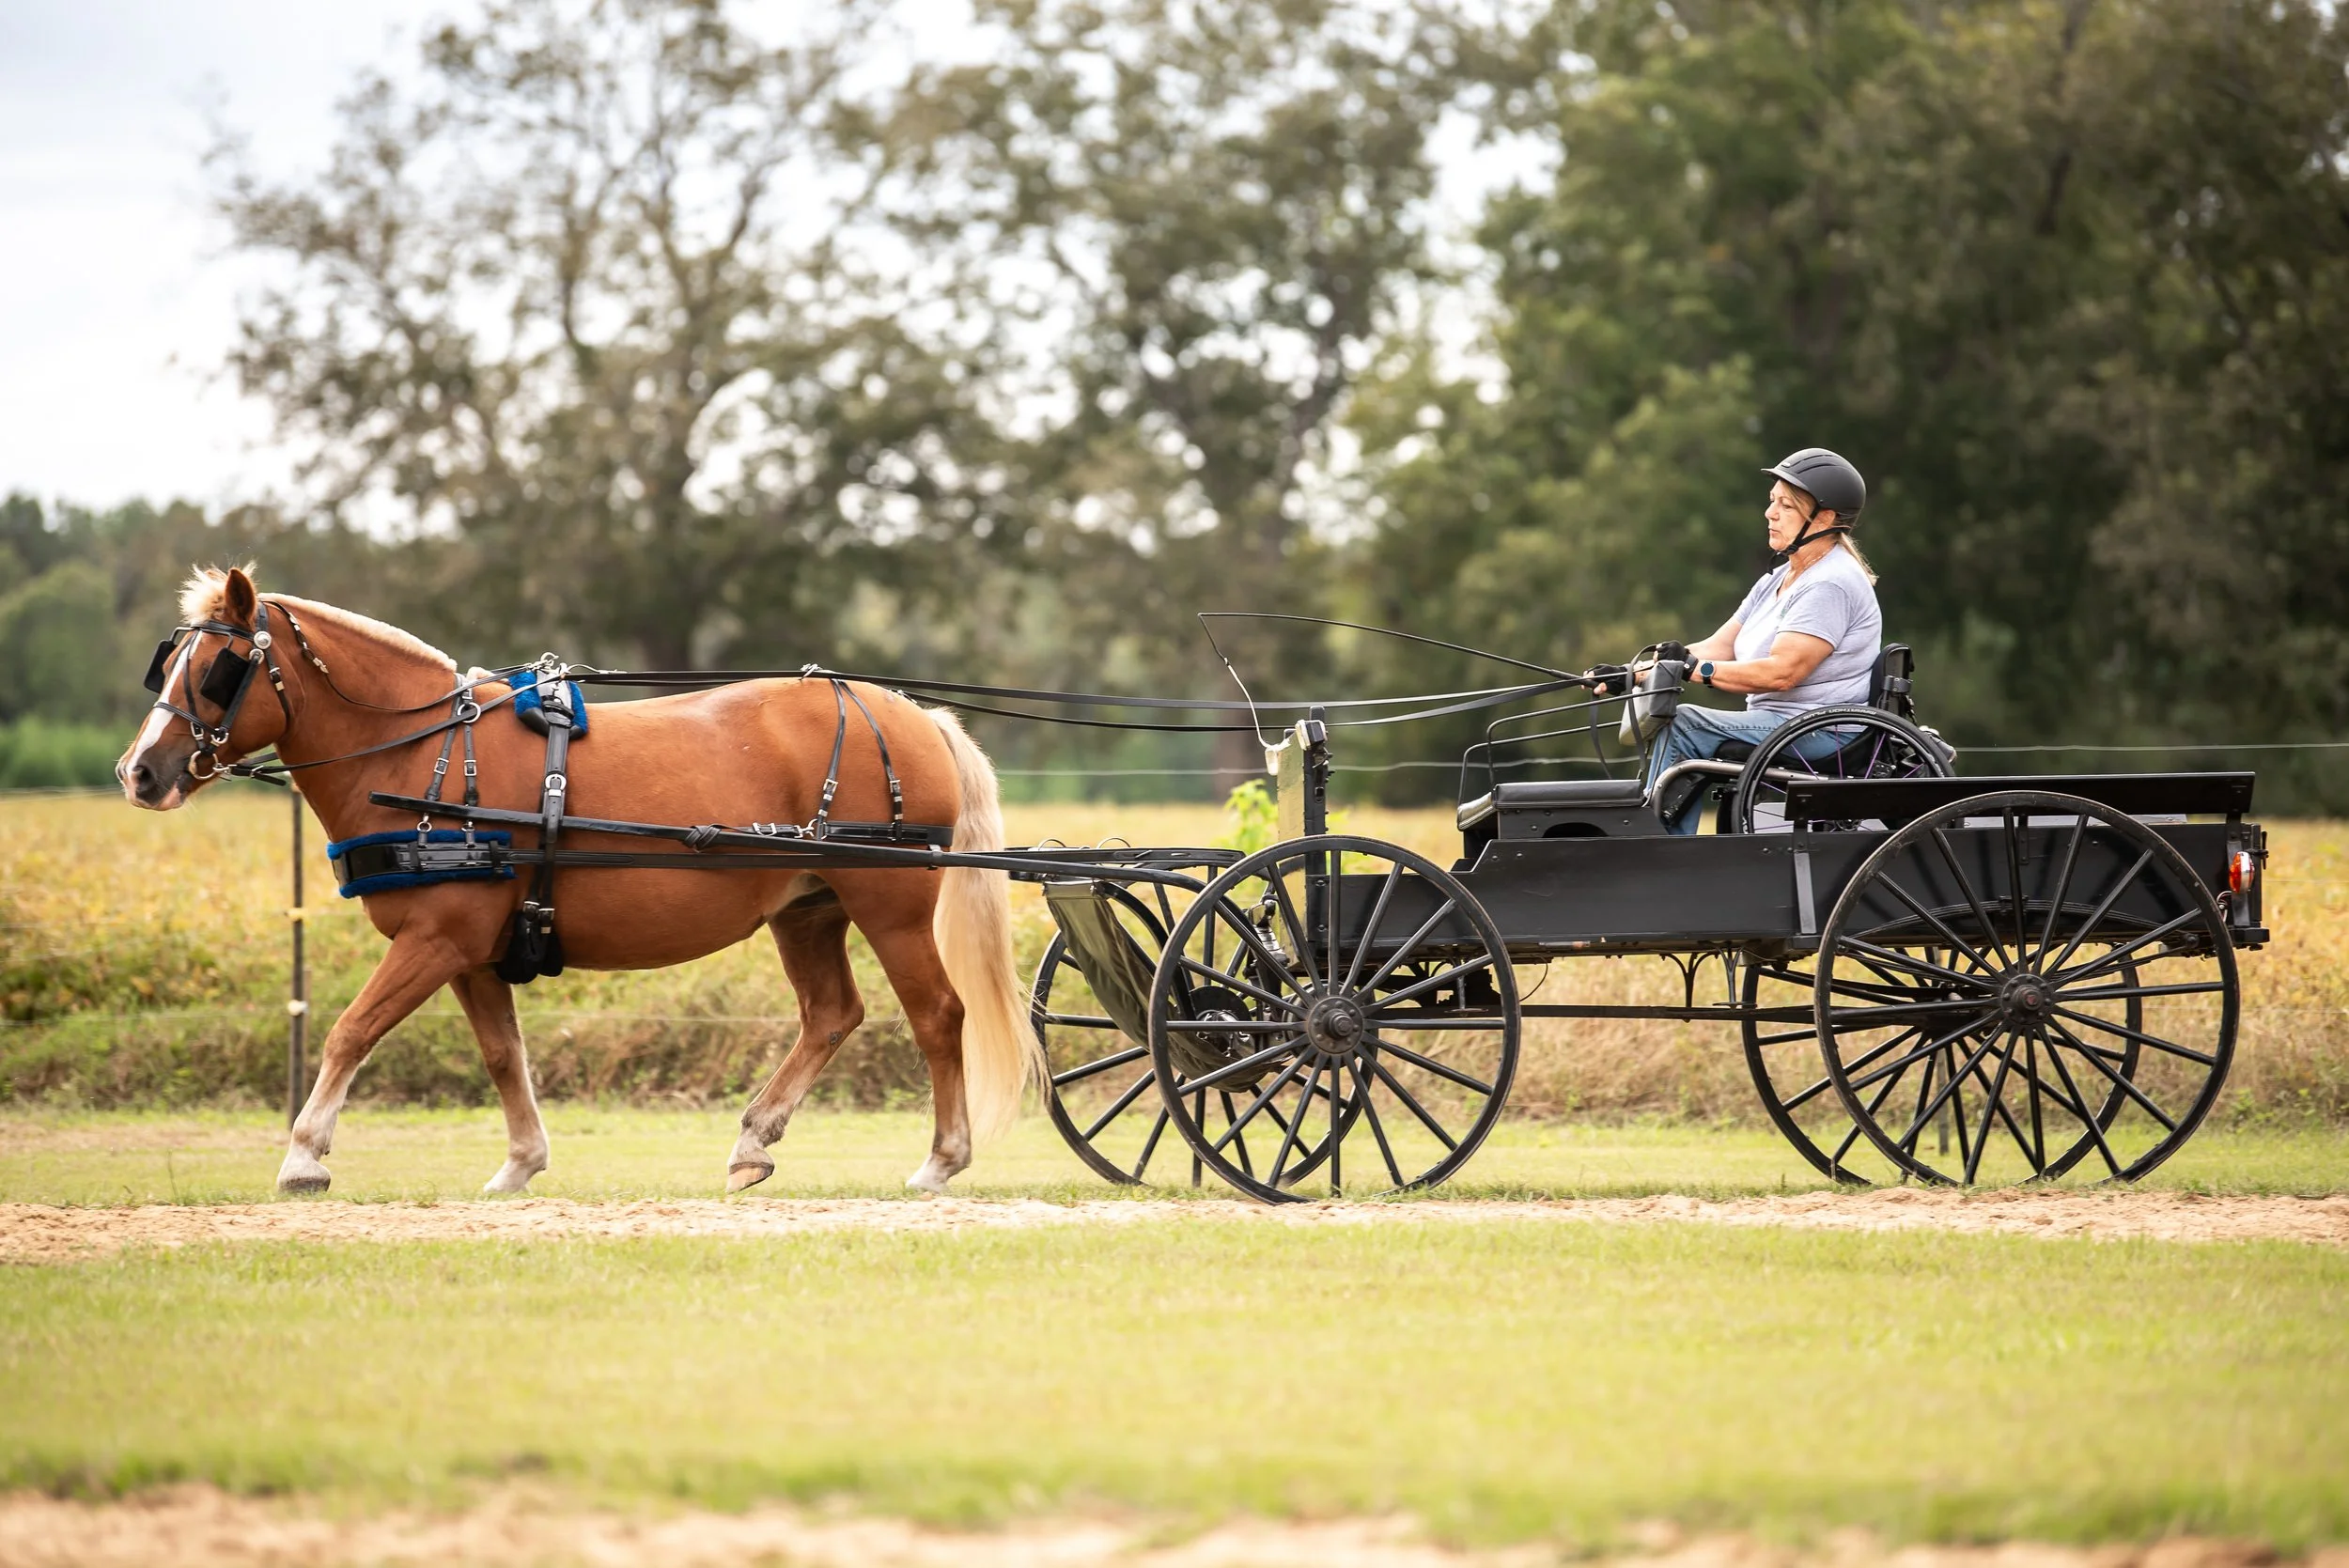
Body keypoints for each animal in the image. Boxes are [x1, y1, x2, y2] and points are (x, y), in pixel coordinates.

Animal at [118, 566, 1037, 1197]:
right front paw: (520, 1164)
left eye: (219, 669)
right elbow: (502, 1053)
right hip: (807, 908)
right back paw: (754, 1139)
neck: (425, 758)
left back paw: (941, 1159)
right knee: (832, 1014)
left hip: (891, 904)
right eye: (166, 664)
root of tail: (911, 714)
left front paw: (304, 1154)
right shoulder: (471, 950)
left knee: (937, 1014)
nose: (139, 772)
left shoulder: (434, 938)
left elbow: (350, 1029)